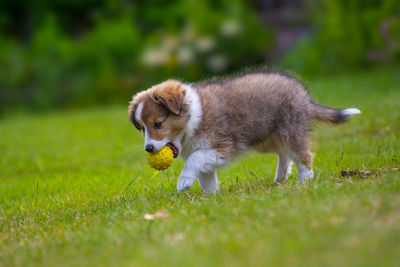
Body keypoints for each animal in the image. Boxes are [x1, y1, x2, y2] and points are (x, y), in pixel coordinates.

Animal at [128, 71, 360, 194]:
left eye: (158, 124)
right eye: (142, 128)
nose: (149, 148)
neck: (192, 119)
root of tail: (303, 95)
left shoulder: (221, 147)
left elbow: (194, 160)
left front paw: (184, 182)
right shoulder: (206, 153)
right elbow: (206, 176)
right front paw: (211, 197)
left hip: (290, 130)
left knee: (304, 155)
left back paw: (305, 182)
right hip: (269, 137)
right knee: (285, 155)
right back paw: (279, 179)